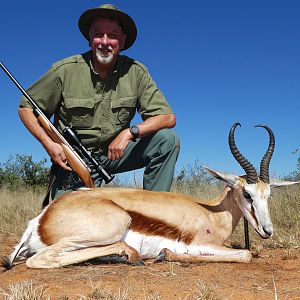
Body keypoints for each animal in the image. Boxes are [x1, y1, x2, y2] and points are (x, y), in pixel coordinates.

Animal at [2, 123, 298, 268]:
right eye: (246, 193)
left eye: (268, 195)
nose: (267, 231)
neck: (212, 213)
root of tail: (40, 220)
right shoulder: (198, 245)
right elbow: (246, 254)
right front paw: (166, 255)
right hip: (113, 226)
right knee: (39, 260)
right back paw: (129, 254)